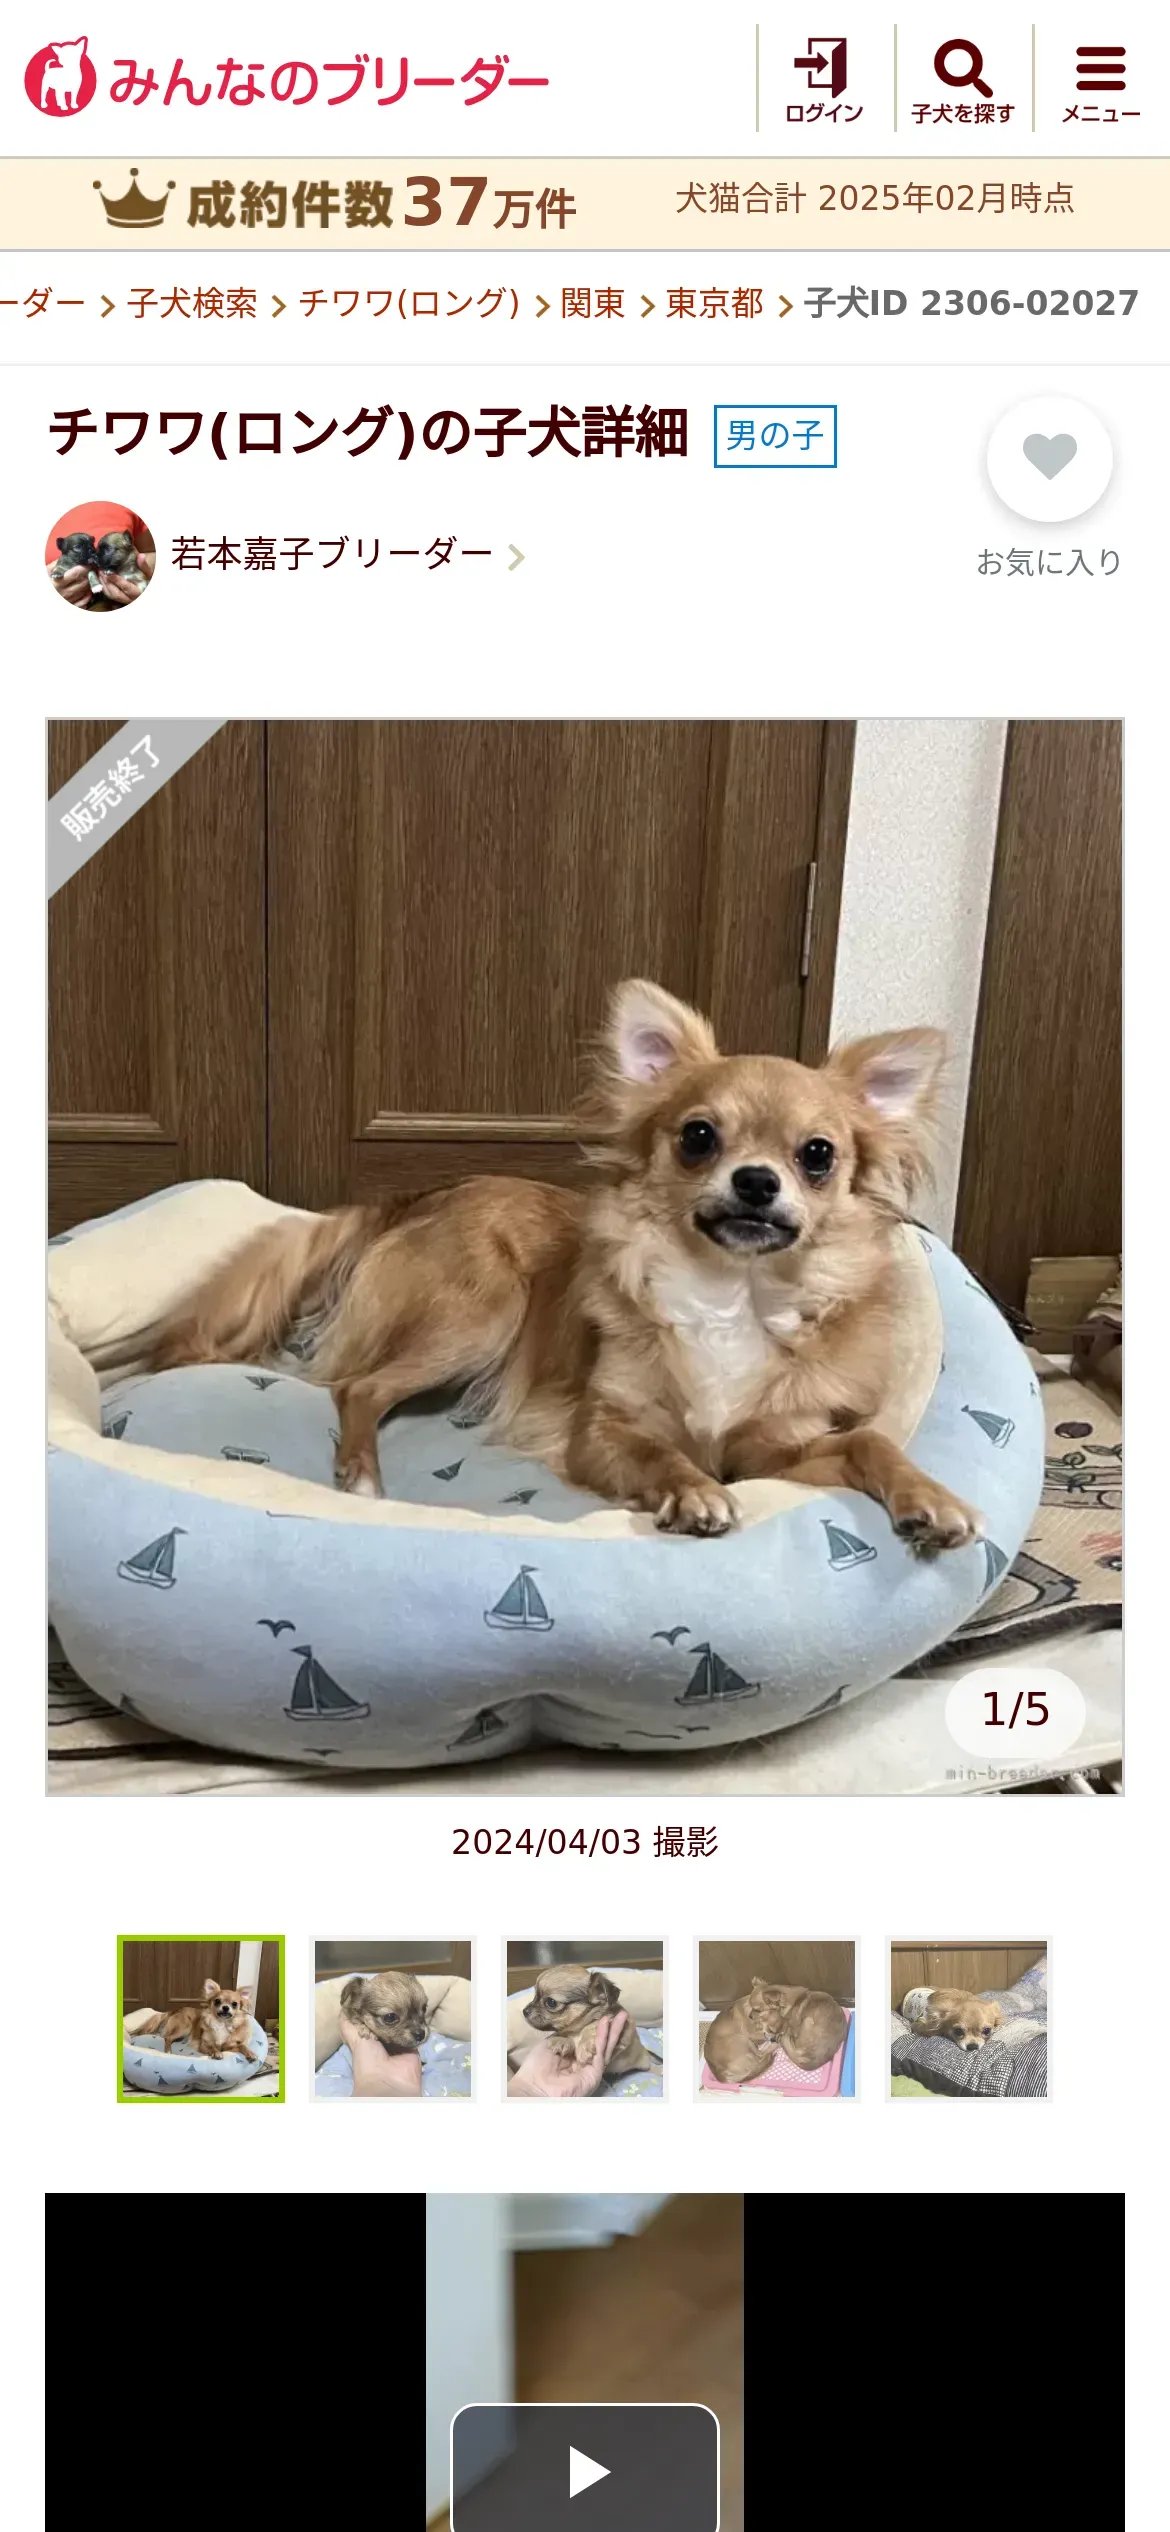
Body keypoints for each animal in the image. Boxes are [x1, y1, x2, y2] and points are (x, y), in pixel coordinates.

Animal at [147, 979, 982, 1551]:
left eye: (818, 1155)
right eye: (699, 1136)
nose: (755, 1181)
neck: (729, 1291)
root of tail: (420, 1195)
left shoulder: (771, 1452)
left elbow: (869, 1441)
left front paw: (930, 1498)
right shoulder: (602, 1430)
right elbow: (661, 1452)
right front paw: (692, 1493)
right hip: (483, 1313)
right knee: (359, 1387)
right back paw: (364, 1477)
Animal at [515, 1965, 659, 2080]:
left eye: (551, 2002)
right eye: (534, 1996)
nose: (524, 2011)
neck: (578, 2028)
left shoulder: (622, 2028)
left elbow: (593, 2025)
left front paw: (584, 2047)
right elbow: (565, 2033)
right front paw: (561, 2041)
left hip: (643, 2061)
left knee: (650, 2066)